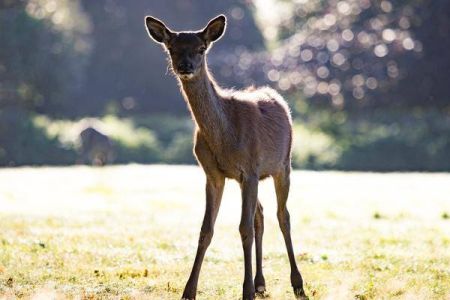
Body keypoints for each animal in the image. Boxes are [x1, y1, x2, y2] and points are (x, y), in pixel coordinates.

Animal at [146, 14, 308, 300]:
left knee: (283, 216)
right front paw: (189, 291)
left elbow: (243, 228)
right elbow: (206, 229)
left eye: (201, 48)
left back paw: (297, 283)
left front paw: (245, 292)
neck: (225, 135)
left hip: (283, 165)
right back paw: (261, 282)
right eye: (172, 48)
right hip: (254, 178)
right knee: (261, 215)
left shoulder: (250, 169)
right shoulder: (214, 175)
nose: (185, 66)